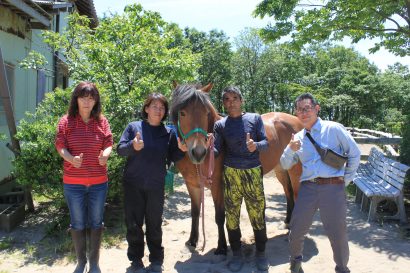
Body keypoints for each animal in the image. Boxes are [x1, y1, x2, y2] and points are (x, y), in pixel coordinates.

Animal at [169, 83, 302, 255]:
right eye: (182, 113)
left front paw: (221, 246)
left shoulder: (218, 185)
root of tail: (297, 121)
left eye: (206, 113)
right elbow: (195, 212)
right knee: (288, 193)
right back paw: (287, 223)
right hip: (281, 170)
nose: (199, 152)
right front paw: (192, 242)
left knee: (296, 195)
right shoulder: (192, 185)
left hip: (294, 170)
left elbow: (220, 216)